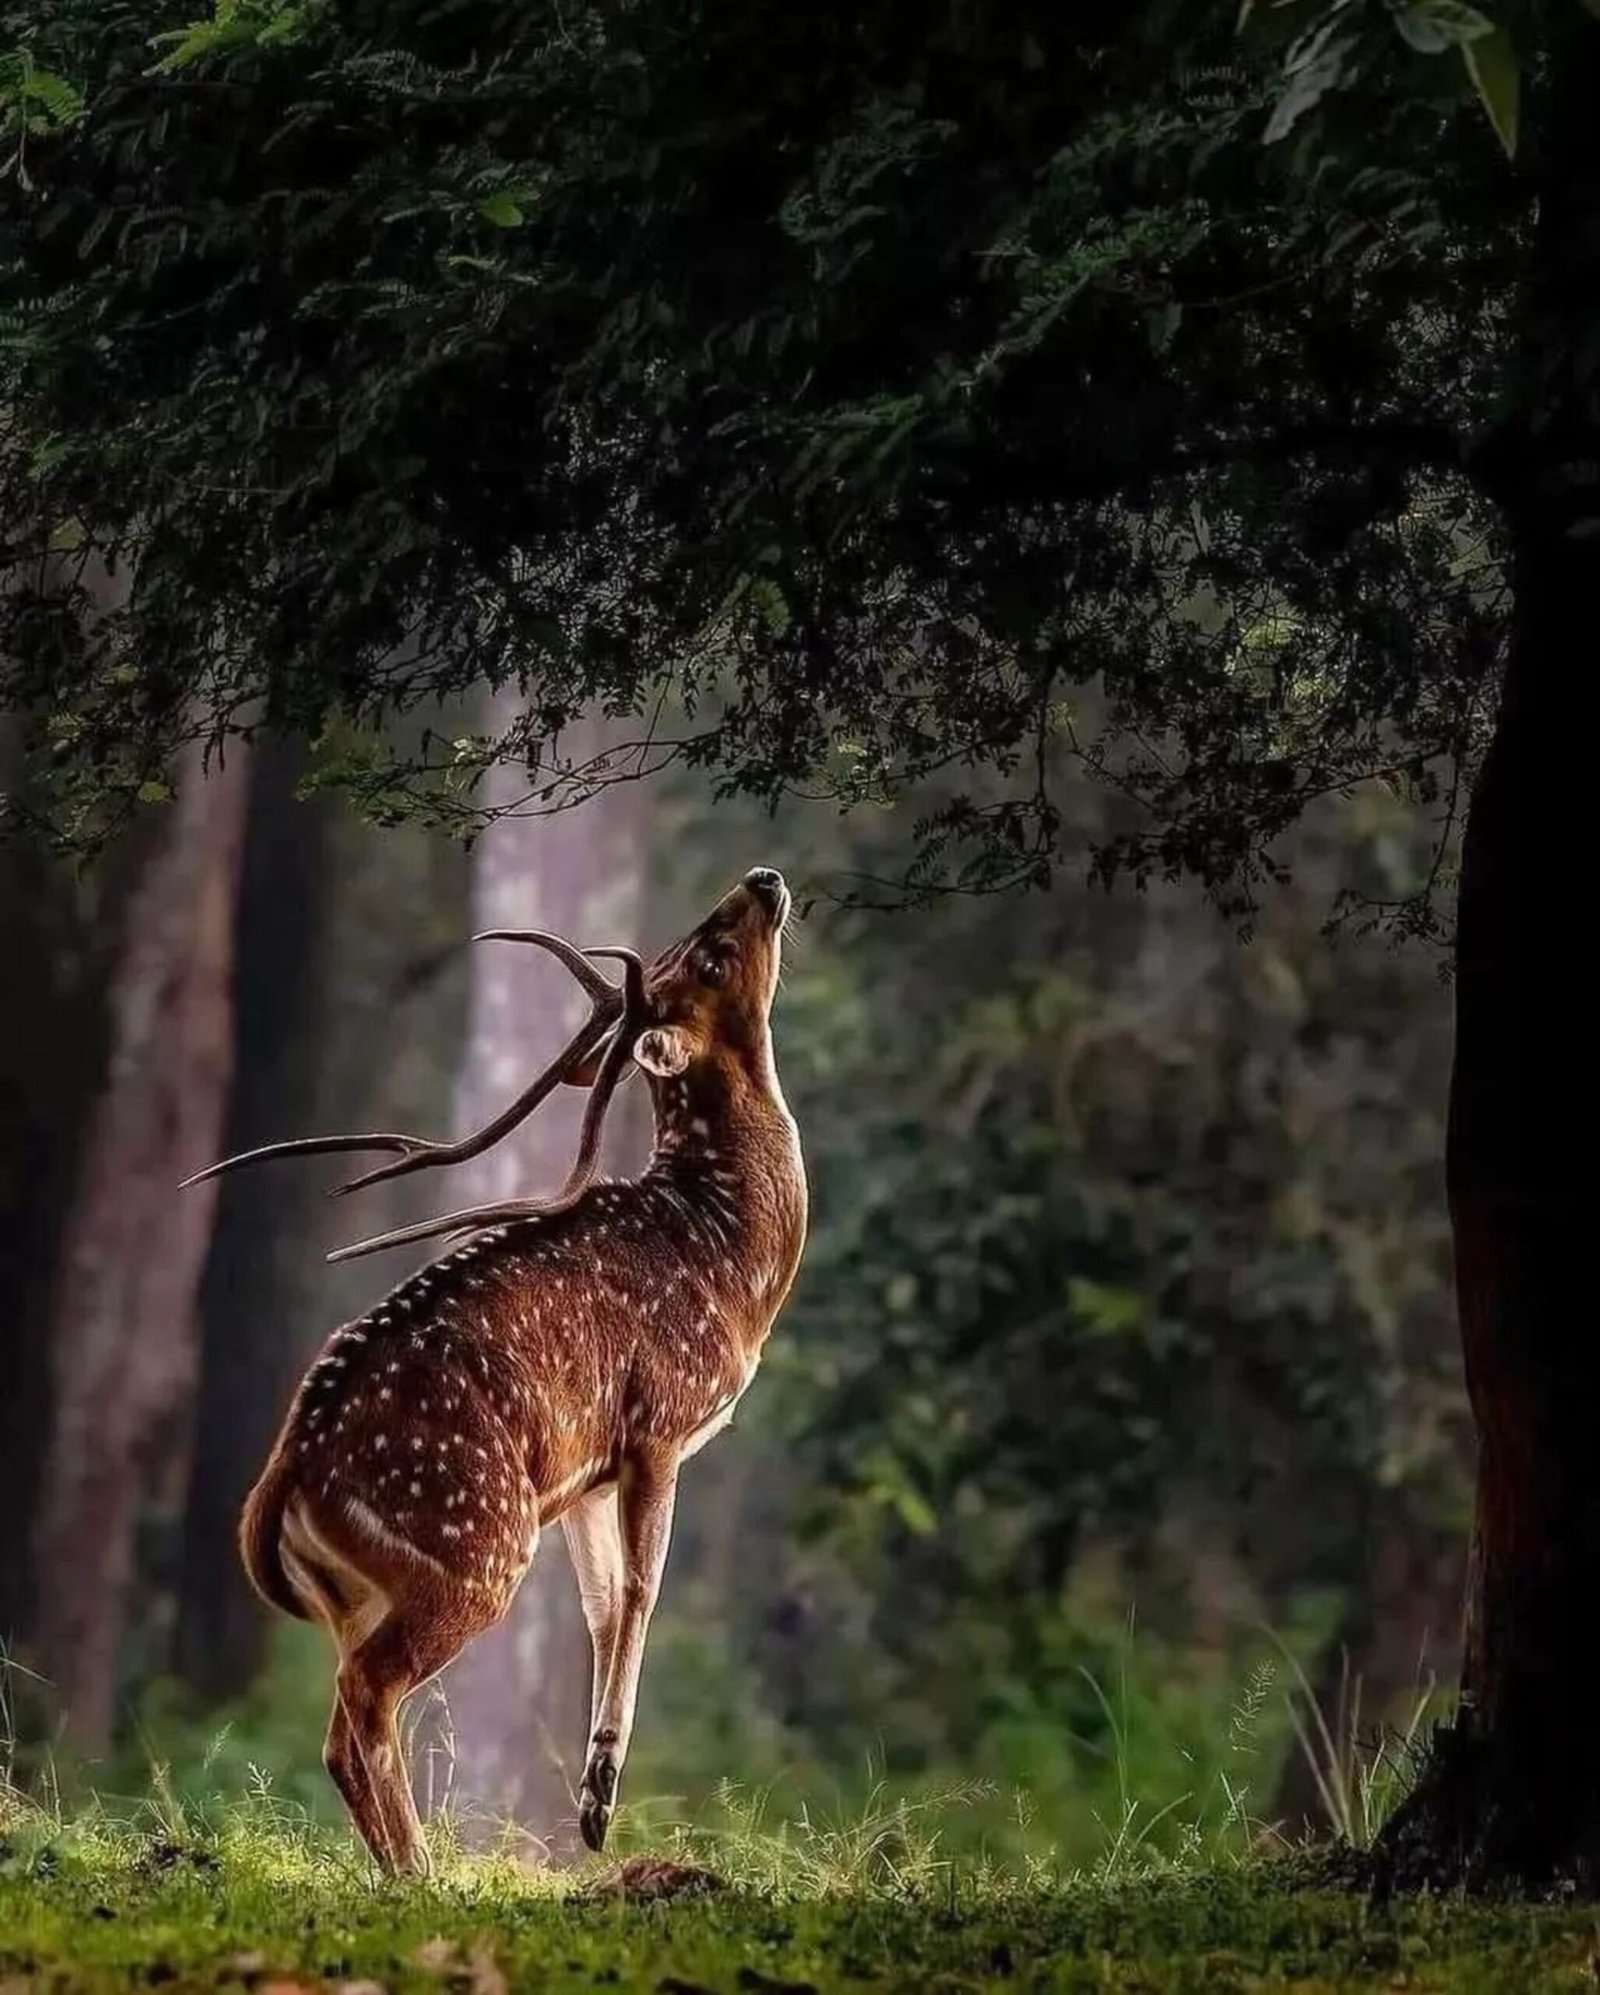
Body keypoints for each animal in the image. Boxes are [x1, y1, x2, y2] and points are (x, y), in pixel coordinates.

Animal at [188, 869, 805, 1867]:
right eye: (709, 953)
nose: (764, 878)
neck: (731, 1259)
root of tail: (290, 1468)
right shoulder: (660, 1419)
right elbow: (644, 1592)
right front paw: (599, 1802)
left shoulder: (589, 1473)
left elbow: (603, 1607)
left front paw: (592, 1800)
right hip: (476, 1544)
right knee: (369, 1696)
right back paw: (422, 1869)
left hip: (363, 1589)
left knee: (338, 1725)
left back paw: (399, 1866)